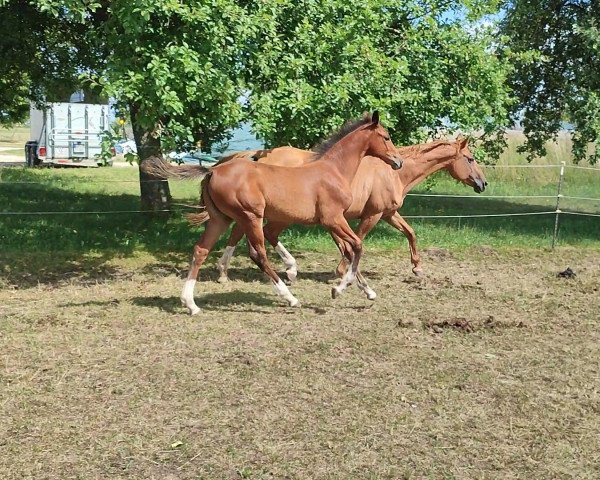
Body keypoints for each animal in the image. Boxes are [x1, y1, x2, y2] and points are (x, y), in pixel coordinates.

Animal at [145, 112, 404, 316]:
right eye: (386, 137)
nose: (399, 161)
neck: (333, 171)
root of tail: (212, 171)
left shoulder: (333, 222)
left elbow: (350, 251)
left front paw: (367, 290)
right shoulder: (333, 219)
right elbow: (357, 246)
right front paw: (338, 289)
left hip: (221, 219)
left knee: (201, 250)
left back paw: (191, 304)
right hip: (250, 216)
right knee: (257, 254)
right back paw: (290, 297)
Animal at [213, 137, 486, 290]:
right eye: (470, 159)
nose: (483, 184)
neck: (394, 172)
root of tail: (259, 156)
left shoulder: (388, 213)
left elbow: (410, 233)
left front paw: (417, 268)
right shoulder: (372, 215)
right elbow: (358, 240)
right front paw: (343, 272)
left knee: (246, 232)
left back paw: (228, 272)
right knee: (249, 233)